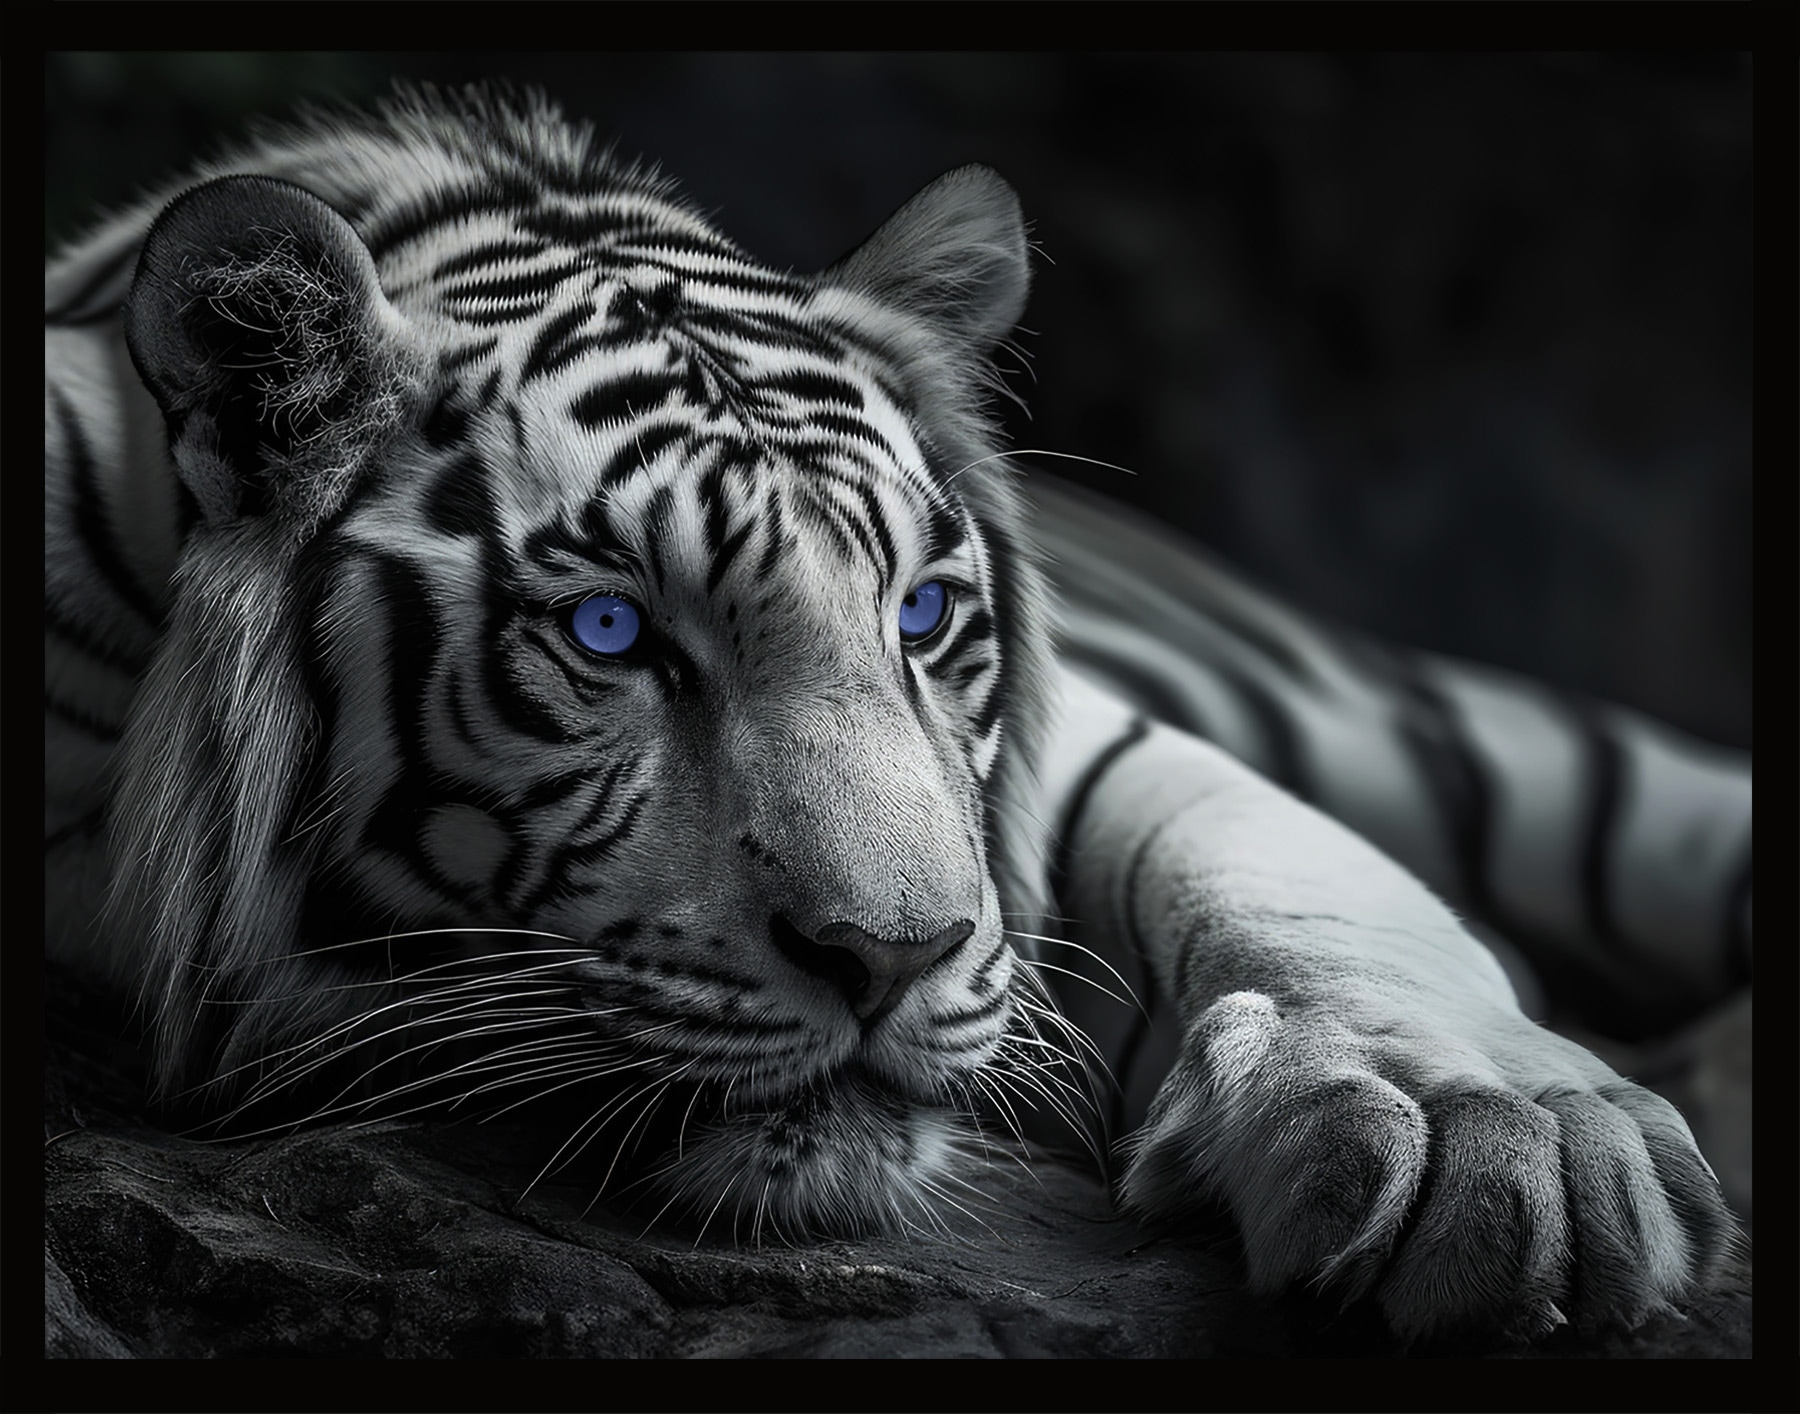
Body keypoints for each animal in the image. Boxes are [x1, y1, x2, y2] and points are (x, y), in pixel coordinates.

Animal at [44, 83, 1749, 1348]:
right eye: (611, 631)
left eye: (919, 617)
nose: (893, 957)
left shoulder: (1096, 758)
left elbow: (1301, 874)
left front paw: (1501, 1140)